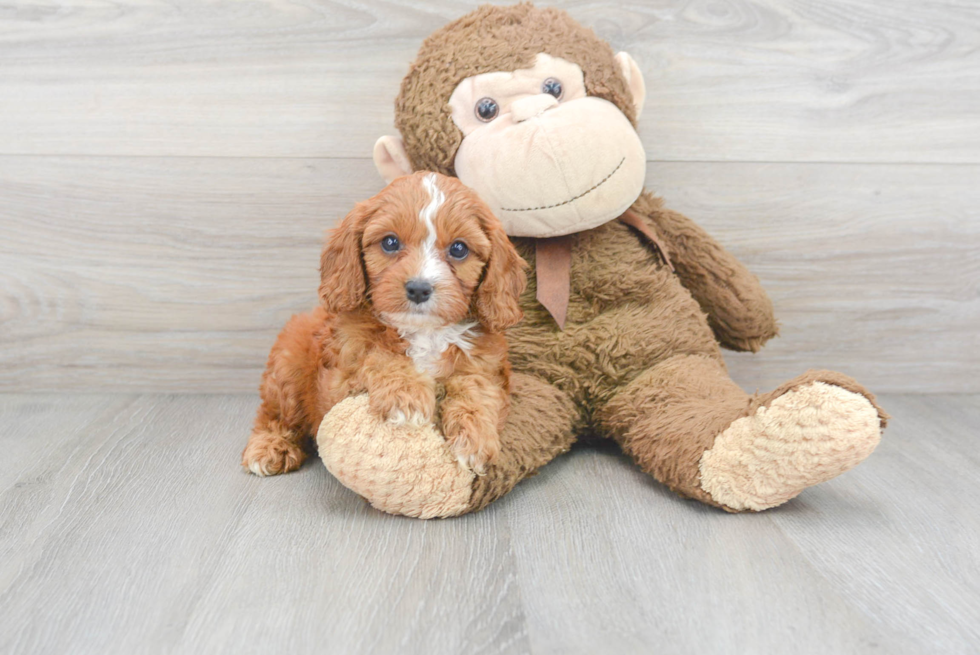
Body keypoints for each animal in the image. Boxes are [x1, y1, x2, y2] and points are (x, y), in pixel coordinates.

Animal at [240, 172, 524, 474]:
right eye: (390, 242)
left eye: (459, 249)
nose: (419, 289)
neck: (423, 332)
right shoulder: (341, 378)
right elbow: (378, 354)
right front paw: (405, 393)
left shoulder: (487, 365)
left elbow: (477, 387)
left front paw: (475, 435)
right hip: (288, 367)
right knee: (274, 414)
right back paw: (270, 446)